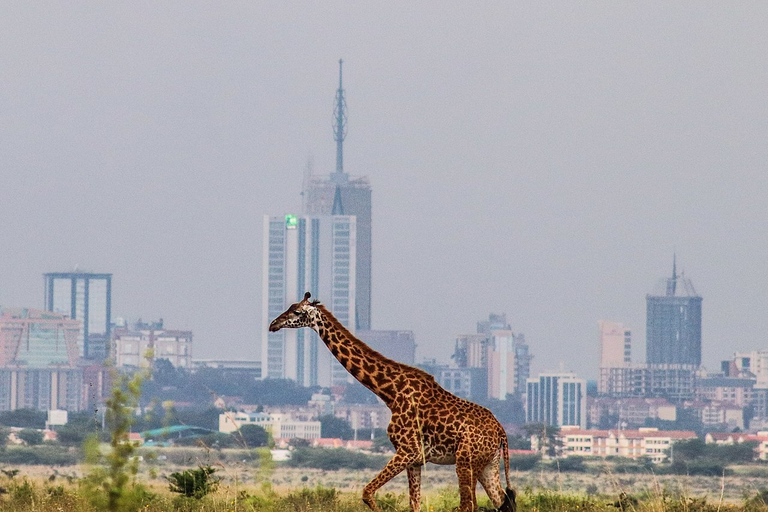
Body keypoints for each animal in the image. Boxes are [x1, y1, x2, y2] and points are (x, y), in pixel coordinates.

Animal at [270, 292, 516, 512]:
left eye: (297, 311)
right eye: (289, 307)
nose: (273, 324)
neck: (390, 393)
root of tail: (500, 431)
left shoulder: (408, 451)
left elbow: (367, 493)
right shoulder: (416, 460)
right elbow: (414, 505)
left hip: (465, 461)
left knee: (469, 505)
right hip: (488, 464)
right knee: (503, 502)